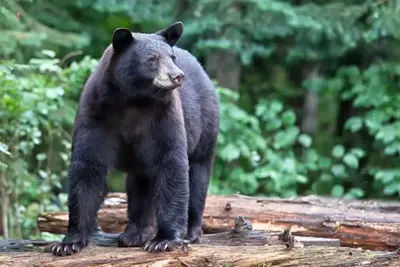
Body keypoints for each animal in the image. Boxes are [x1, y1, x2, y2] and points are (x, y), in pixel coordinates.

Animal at [51, 21, 220, 258]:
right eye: (152, 59)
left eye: (172, 56)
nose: (177, 76)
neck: (135, 100)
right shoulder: (95, 114)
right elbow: (87, 167)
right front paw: (68, 242)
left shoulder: (164, 117)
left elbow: (172, 164)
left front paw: (164, 240)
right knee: (140, 184)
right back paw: (135, 234)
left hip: (205, 127)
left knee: (198, 176)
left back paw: (190, 231)